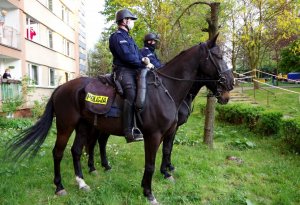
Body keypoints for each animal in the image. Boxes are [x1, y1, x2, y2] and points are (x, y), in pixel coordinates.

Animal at [5, 34, 233, 204]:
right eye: (219, 56)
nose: (230, 86)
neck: (167, 90)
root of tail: (61, 88)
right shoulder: (153, 135)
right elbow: (150, 164)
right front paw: (149, 193)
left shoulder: (169, 132)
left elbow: (167, 152)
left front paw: (167, 173)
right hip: (66, 125)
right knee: (59, 152)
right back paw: (60, 186)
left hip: (84, 126)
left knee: (77, 150)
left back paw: (82, 181)